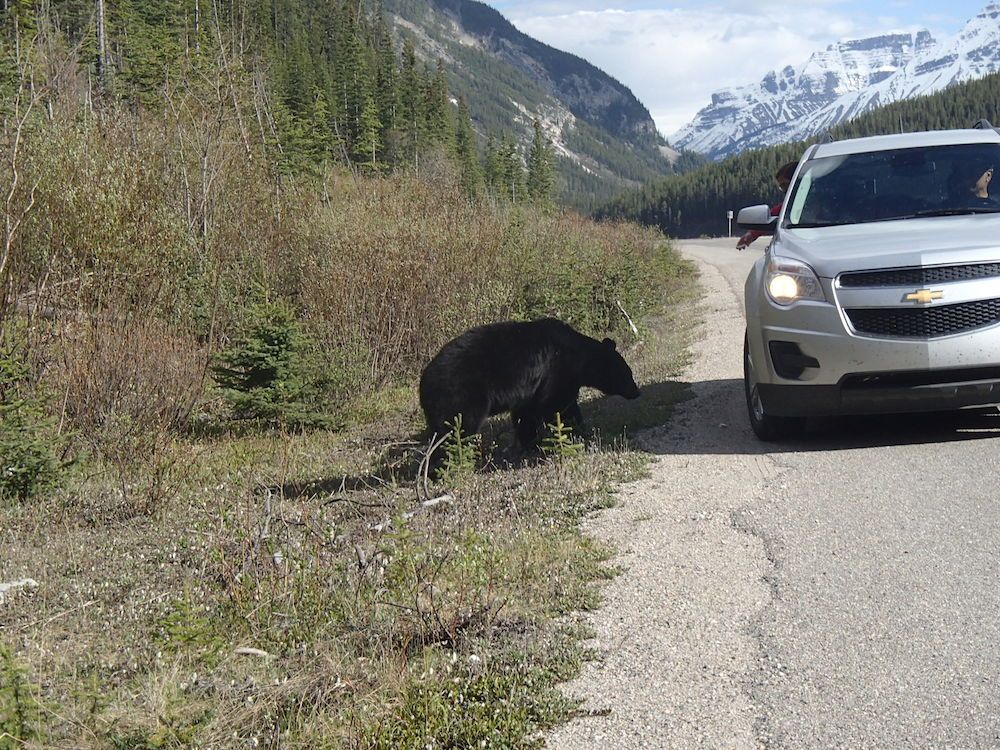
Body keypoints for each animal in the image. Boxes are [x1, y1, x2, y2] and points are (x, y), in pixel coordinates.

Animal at [420, 318, 640, 450]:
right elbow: (557, 406)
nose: (636, 392)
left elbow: (526, 414)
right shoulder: (558, 372)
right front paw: (572, 435)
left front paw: (530, 442)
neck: (580, 357)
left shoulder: (530, 391)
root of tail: (424, 383)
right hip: (460, 395)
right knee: (457, 428)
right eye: (627, 374)